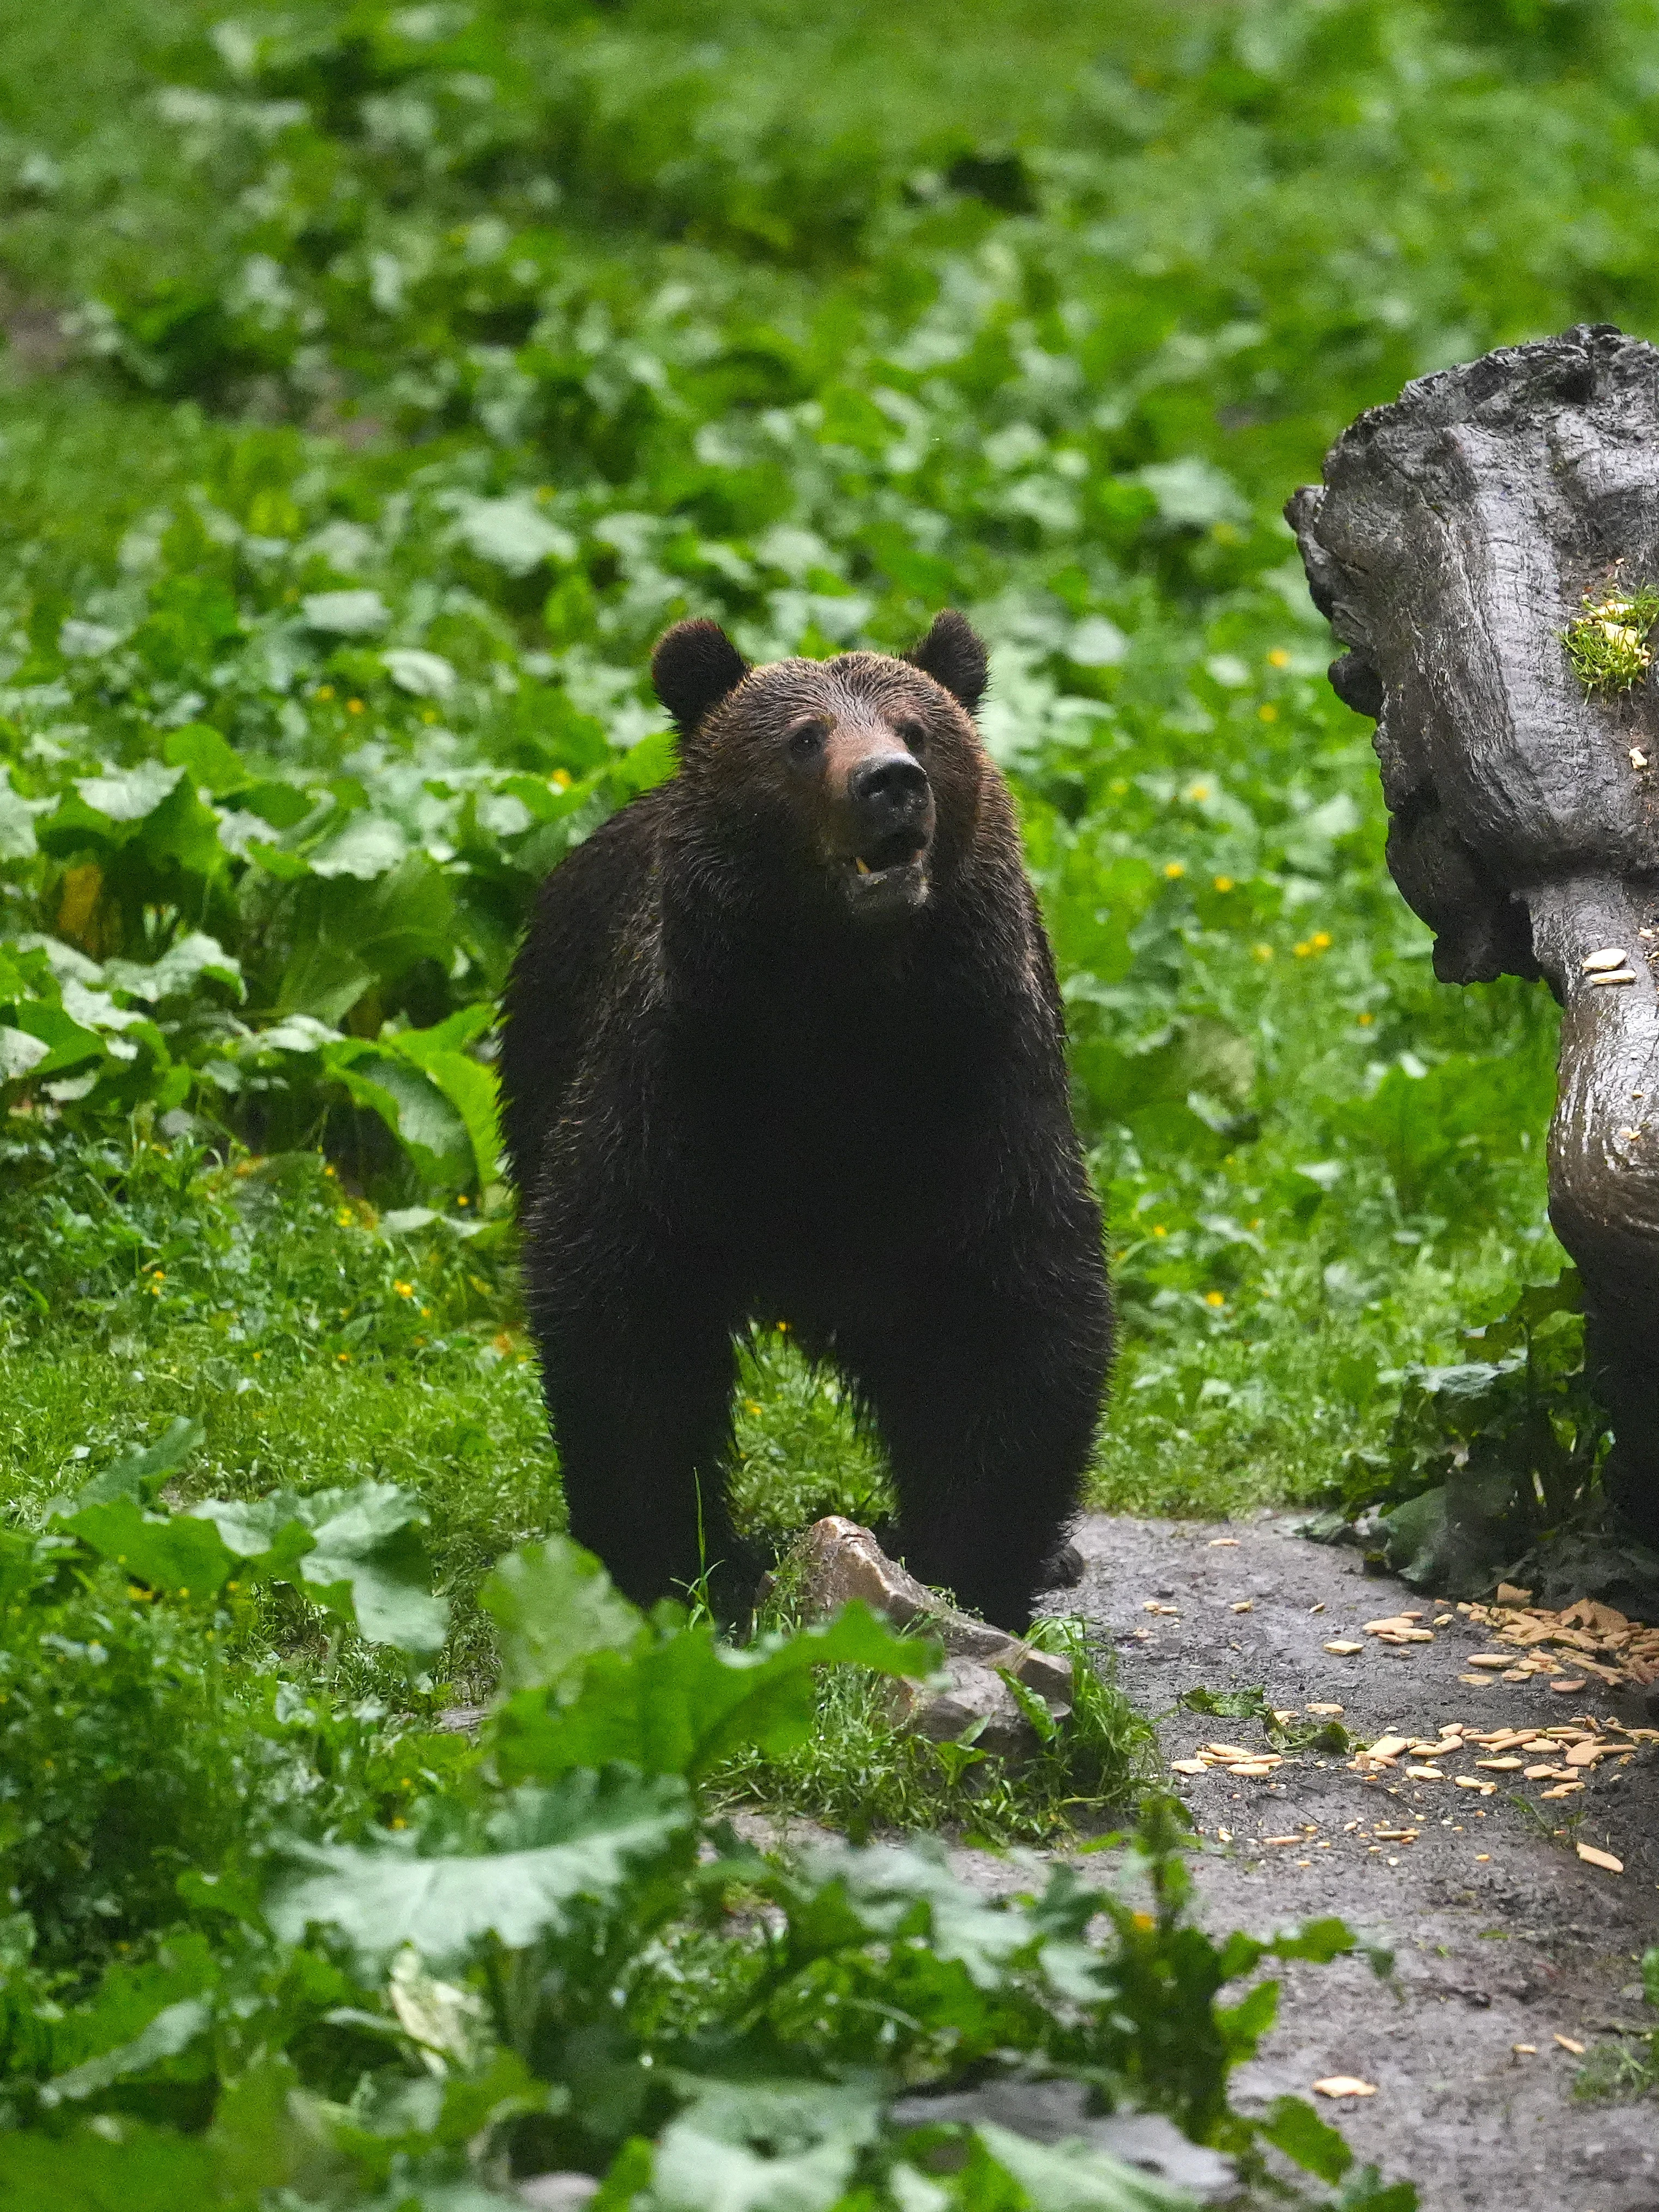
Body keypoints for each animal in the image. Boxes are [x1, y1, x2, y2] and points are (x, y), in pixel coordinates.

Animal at [499, 611, 1112, 1632]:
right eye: (803, 738)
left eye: (916, 729)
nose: (890, 782)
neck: (839, 1014)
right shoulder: (680, 1084)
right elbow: (623, 1305)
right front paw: (671, 1561)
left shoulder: (976, 1085)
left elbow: (1014, 1307)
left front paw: (973, 1566)